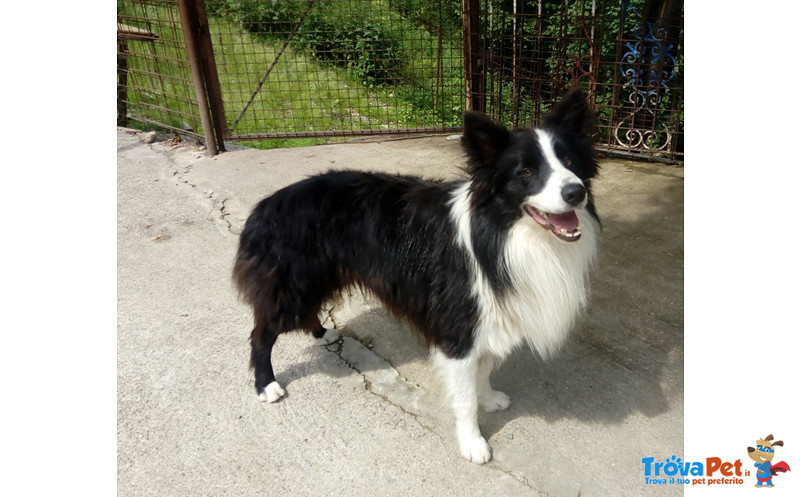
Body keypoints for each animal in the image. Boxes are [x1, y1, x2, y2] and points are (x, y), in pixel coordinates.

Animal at [231, 88, 600, 462]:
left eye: (570, 162)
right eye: (526, 171)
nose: (576, 193)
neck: (500, 231)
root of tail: (266, 206)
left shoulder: (492, 316)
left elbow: (483, 369)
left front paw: (488, 397)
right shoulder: (458, 326)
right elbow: (465, 394)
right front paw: (473, 442)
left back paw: (322, 333)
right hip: (292, 285)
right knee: (261, 334)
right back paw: (266, 384)